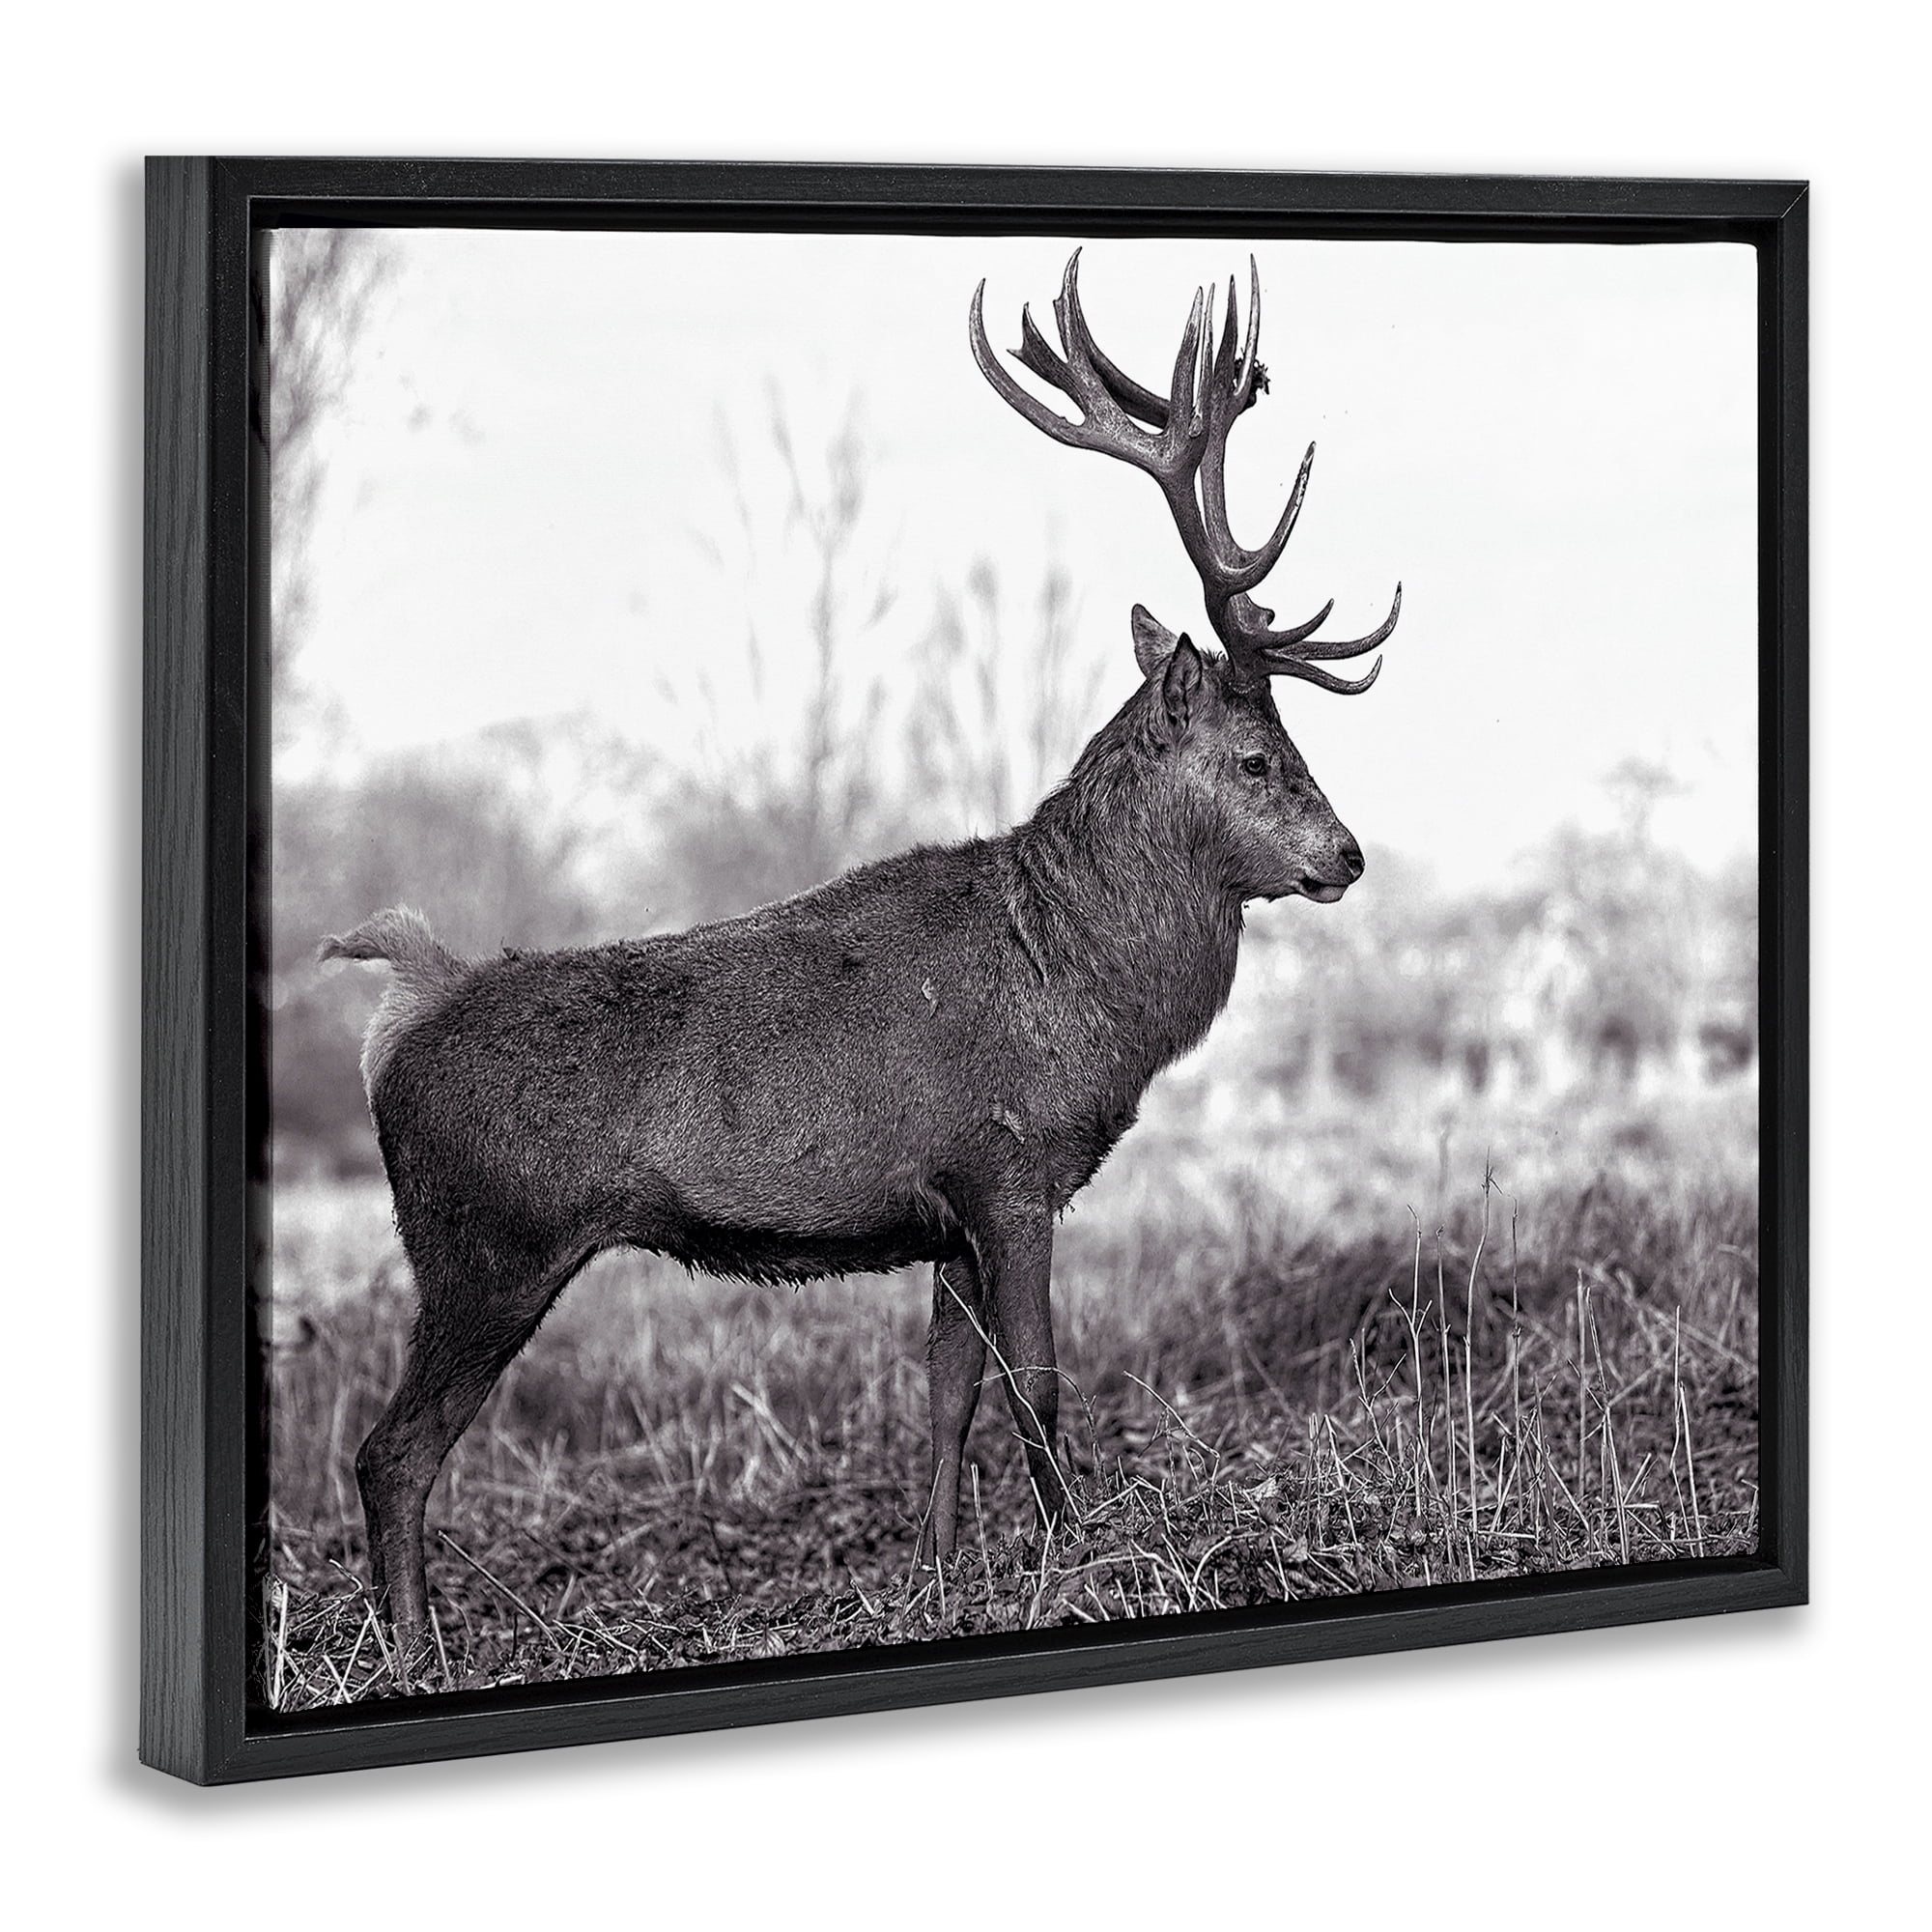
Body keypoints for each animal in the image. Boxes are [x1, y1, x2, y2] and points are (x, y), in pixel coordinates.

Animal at [319, 250, 1401, 1652]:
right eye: (1260, 756)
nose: (1347, 856)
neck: (1080, 991)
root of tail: (401, 1010)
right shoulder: (1010, 1166)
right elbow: (1037, 1379)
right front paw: (1076, 1556)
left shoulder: (944, 1211)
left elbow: (945, 1390)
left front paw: (937, 1572)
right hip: (482, 1244)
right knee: (389, 1451)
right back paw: (417, 1649)